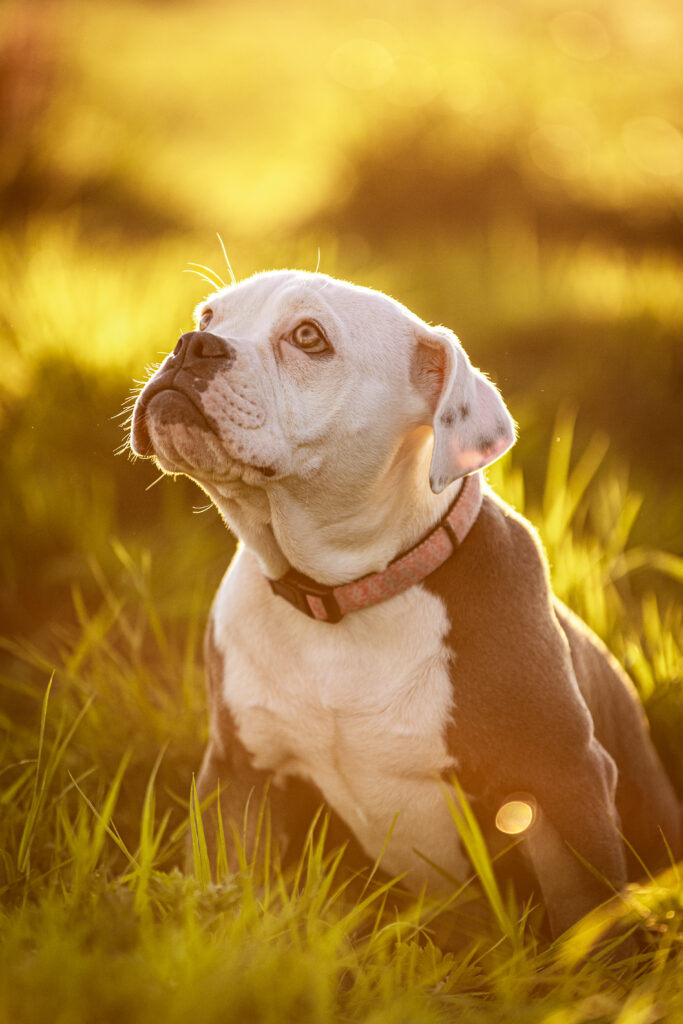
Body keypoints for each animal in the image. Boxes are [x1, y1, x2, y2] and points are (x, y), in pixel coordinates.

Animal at [131, 270, 679, 937]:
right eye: (208, 317)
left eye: (308, 337)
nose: (192, 345)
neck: (342, 593)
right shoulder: (240, 778)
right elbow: (223, 891)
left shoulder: (563, 781)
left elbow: (588, 921)